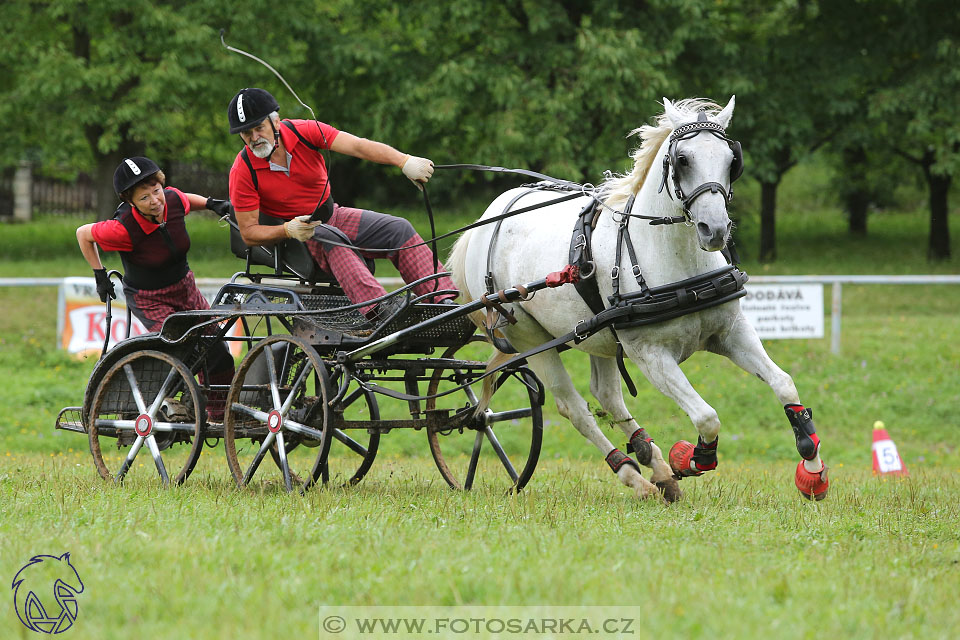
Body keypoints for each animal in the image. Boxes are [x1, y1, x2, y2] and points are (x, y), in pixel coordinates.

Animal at [448, 97, 824, 502]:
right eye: (683, 159)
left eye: (731, 159)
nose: (715, 230)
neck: (677, 265)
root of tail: (490, 217)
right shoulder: (651, 355)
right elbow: (706, 417)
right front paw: (690, 458)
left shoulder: (731, 333)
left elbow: (784, 384)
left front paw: (812, 469)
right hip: (533, 340)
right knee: (574, 407)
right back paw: (633, 474)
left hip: (596, 335)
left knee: (608, 395)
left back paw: (652, 462)